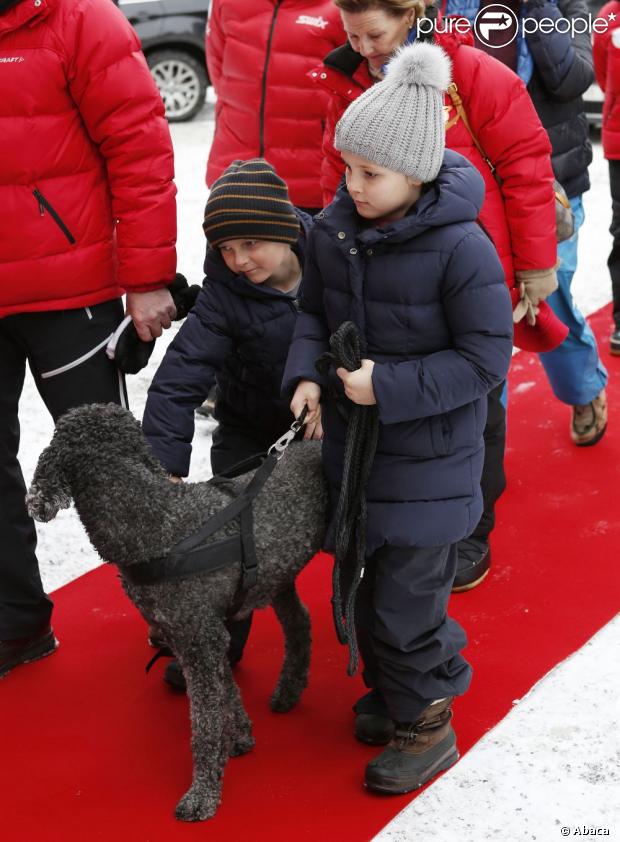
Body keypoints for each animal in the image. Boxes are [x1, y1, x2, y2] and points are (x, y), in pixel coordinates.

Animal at [27, 404, 330, 816]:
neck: (154, 522)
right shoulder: (196, 634)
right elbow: (226, 692)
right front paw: (240, 738)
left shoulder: (200, 640)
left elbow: (204, 722)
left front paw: (203, 792)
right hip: (277, 573)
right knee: (299, 623)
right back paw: (289, 690)